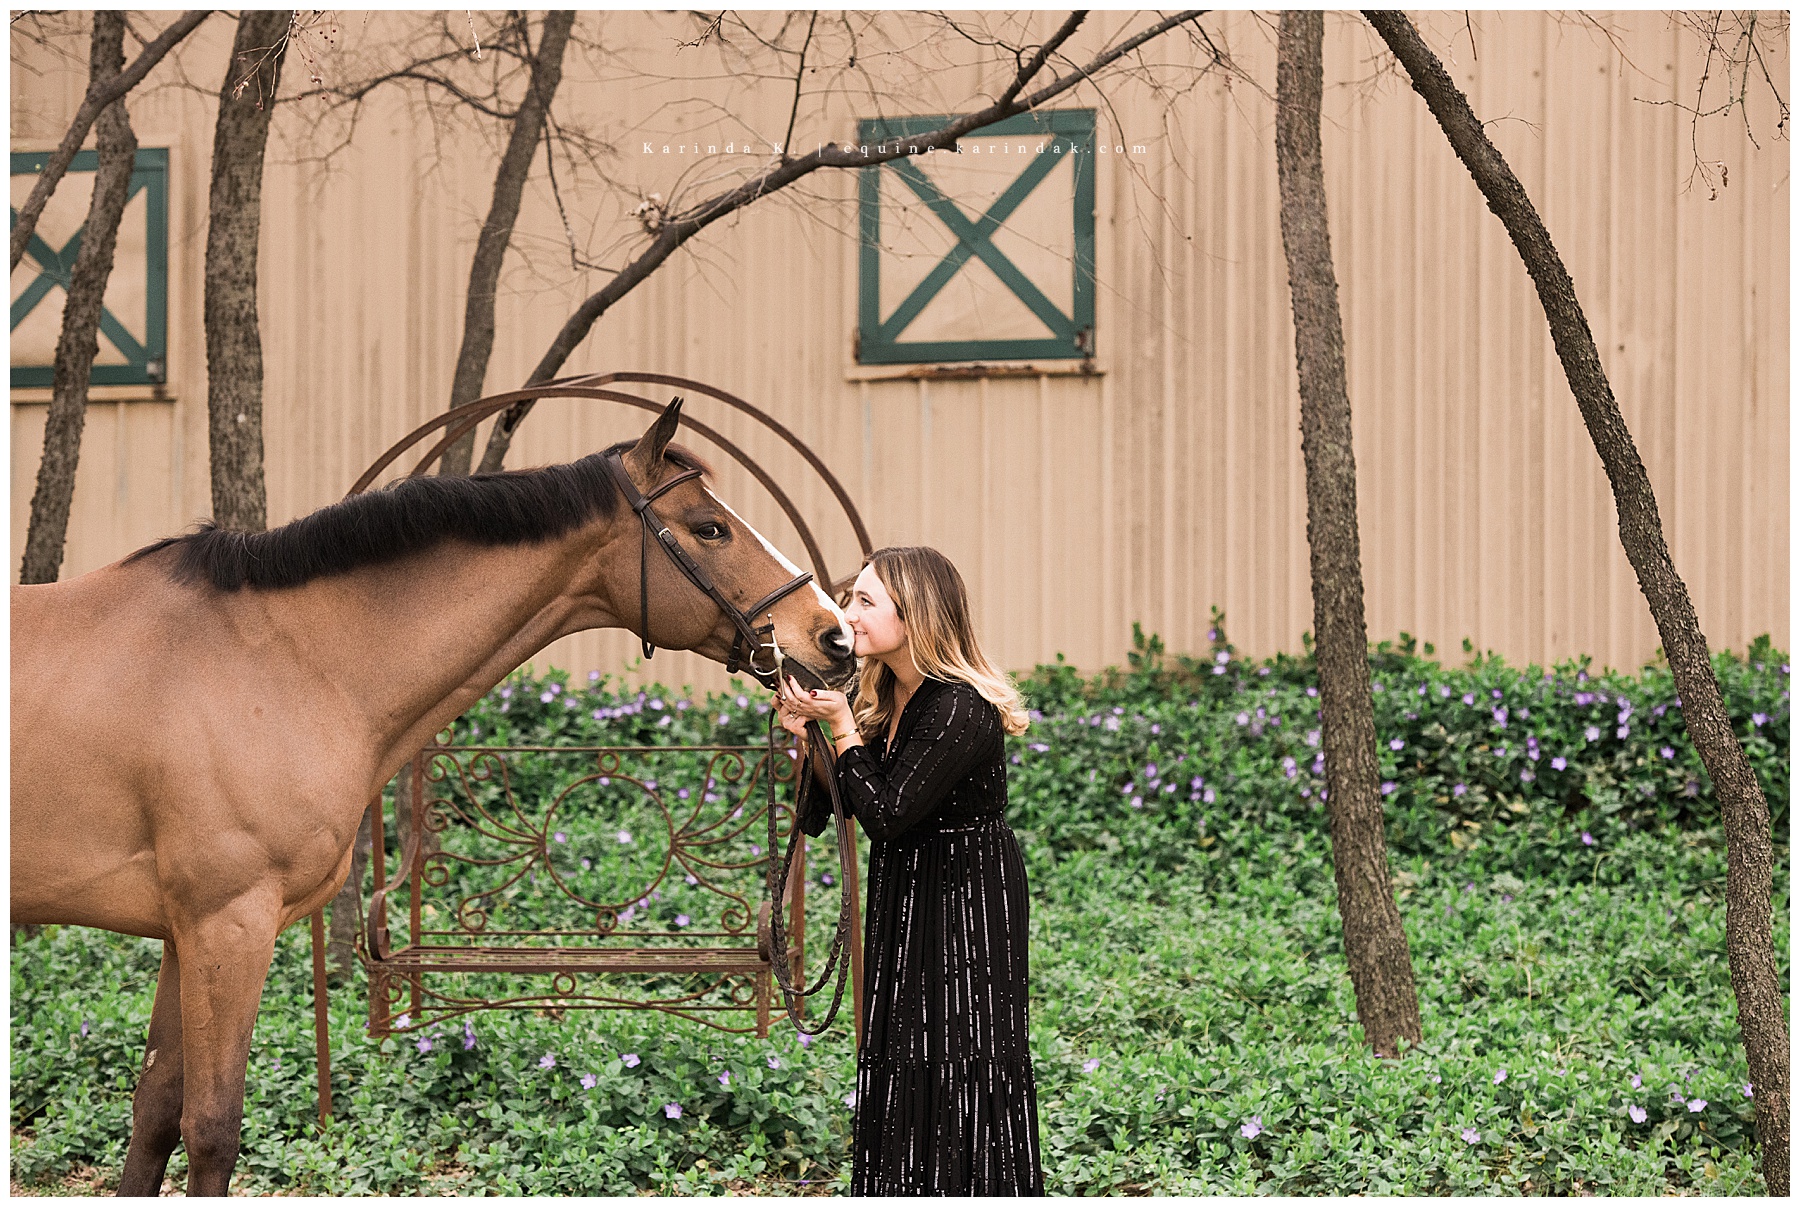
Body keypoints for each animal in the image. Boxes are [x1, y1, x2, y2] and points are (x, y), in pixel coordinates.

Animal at [10, 400, 856, 1195]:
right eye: (710, 527)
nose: (835, 635)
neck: (276, 658)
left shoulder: (184, 934)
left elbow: (154, 1113)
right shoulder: (228, 925)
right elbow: (212, 1127)